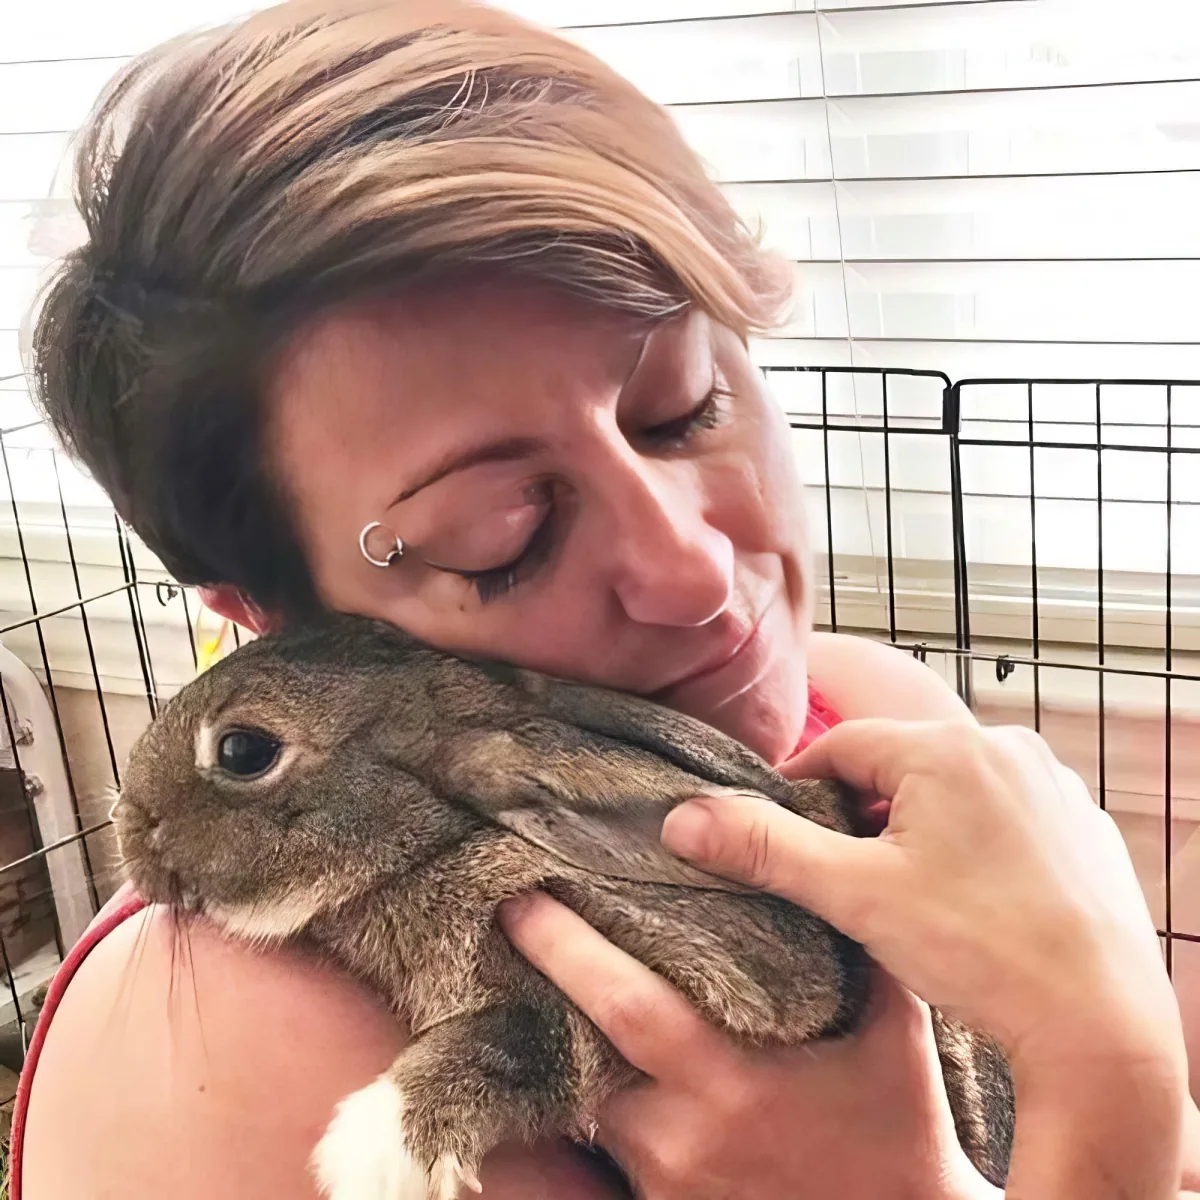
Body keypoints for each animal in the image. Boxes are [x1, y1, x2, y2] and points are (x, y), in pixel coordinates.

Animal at [114, 613, 1014, 1200]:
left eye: (243, 750)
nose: (125, 827)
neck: (441, 839)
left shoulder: (739, 976)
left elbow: (532, 1040)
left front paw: (371, 1154)